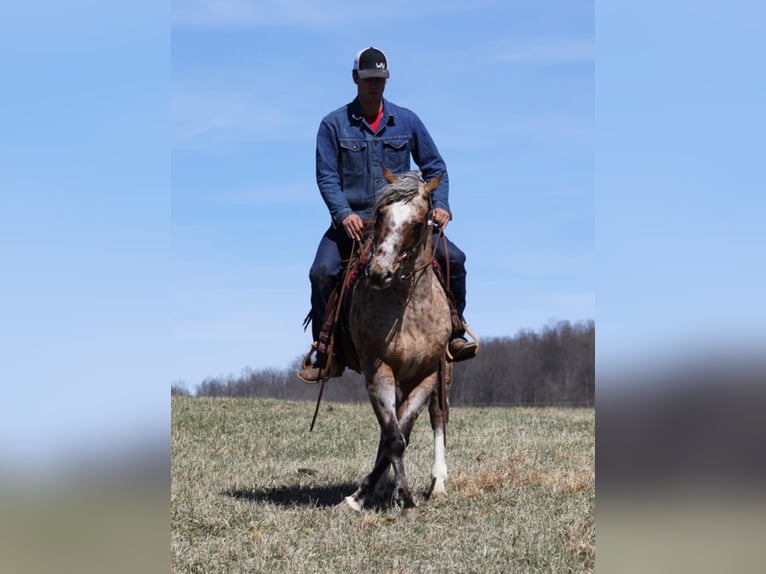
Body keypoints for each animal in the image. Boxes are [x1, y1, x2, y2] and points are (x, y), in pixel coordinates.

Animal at [342, 169, 456, 520]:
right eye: (379, 215)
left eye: (418, 224)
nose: (378, 274)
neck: (409, 307)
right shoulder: (378, 371)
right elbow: (394, 436)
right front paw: (370, 495)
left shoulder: (427, 376)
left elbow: (403, 433)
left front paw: (402, 497)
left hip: (442, 375)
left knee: (438, 417)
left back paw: (438, 484)